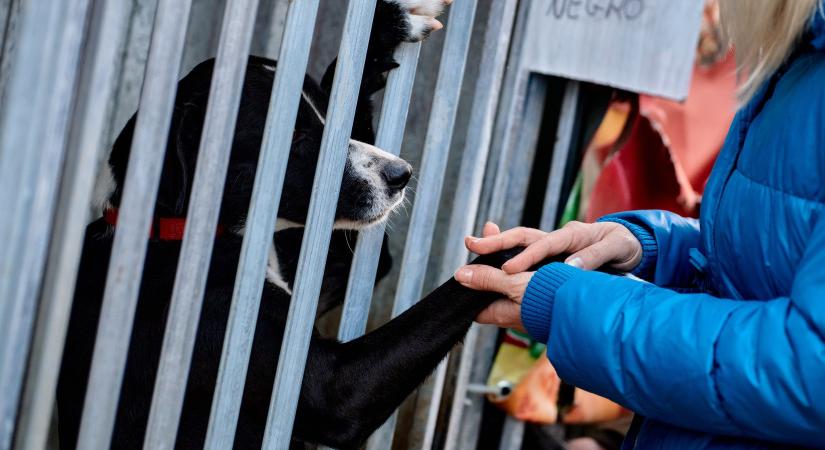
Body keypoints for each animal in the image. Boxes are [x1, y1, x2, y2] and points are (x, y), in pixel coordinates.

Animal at [58, 1, 524, 448]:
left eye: (325, 118)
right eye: (293, 137)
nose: (401, 174)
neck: (174, 233)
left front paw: (388, 23)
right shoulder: (328, 388)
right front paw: (526, 254)